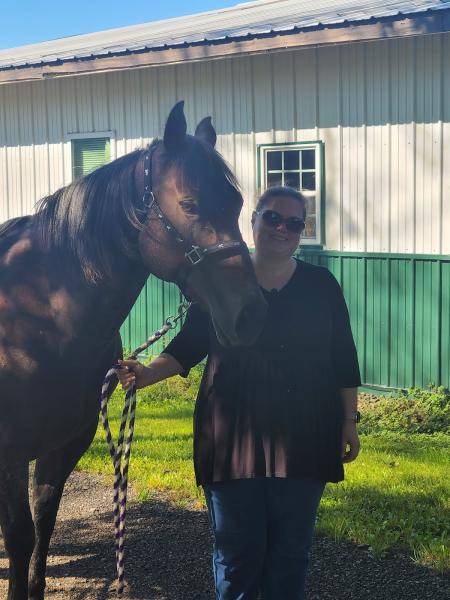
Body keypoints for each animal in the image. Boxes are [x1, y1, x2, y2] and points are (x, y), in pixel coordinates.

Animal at [0, 103, 268, 600]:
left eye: (238, 204)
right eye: (190, 204)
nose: (251, 315)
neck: (38, 313)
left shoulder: (65, 444)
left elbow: (43, 525)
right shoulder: (9, 452)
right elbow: (21, 536)